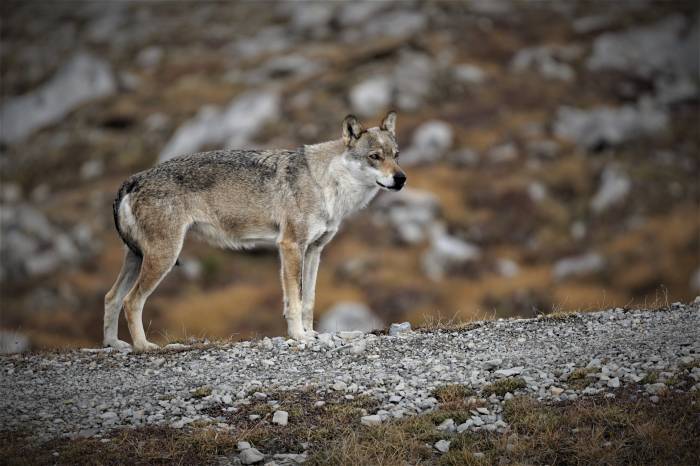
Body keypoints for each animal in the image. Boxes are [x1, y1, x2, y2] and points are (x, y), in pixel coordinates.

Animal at [104, 112, 406, 351]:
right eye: (374, 157)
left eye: (396, 156)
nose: (401, 179)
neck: (326, 182)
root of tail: (134, 178)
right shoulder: (290, 246)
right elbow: (294, 301)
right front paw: (298, 337)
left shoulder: (314, 251)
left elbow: (308, 299)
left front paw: (311, 334)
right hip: (163, 258)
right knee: (131, 301)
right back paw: (143, 347)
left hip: (138, 257)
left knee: (111, 298)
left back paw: (113, 344)